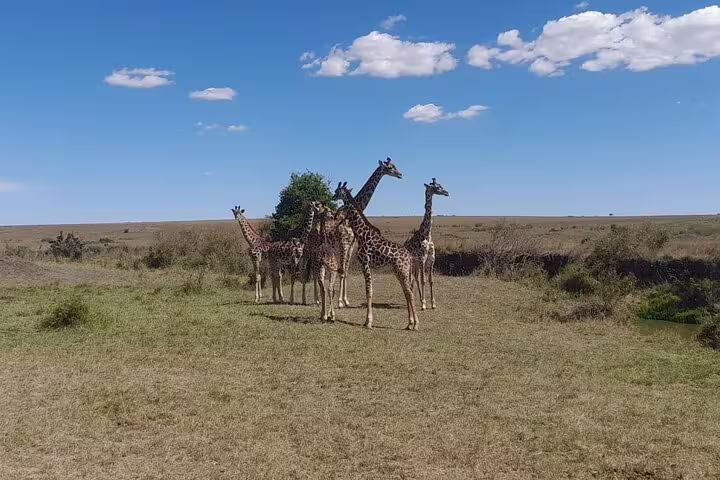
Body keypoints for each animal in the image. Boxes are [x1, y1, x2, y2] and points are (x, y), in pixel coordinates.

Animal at [333, 182, 419, 330]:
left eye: (337, 191)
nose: (332, 197)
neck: (361, 234)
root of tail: (409, 256)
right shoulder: (366, 265)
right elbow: (370, 291)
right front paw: (367, 321)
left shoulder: (365, 263)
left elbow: (369, 291)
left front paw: (368, 322)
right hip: (400, 272)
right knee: (407, 292)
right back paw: (409, 323)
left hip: (401, 271)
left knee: (410, 293)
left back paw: (416, 324)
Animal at [335, 158, 403, 308]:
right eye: (390, 167)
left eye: (394, 166)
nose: (400, 174)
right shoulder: (344, 242)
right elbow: (342, 271)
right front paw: (340, 302)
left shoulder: (352, 244)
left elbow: (345, 271)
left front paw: (345, 300)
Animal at [404, 178, 449, 310]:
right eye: (436, 187)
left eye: (440, 185)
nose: (446, 192)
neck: (427, 235)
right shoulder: (422, 258)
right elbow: (424, 280)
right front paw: (424, 303)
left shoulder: (431, 259)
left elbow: (430, 280)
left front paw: (433, 303)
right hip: (412, 261)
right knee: (412, 278)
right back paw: (413, 297)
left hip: (416, 263)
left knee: (415, 277)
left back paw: (418, 297)